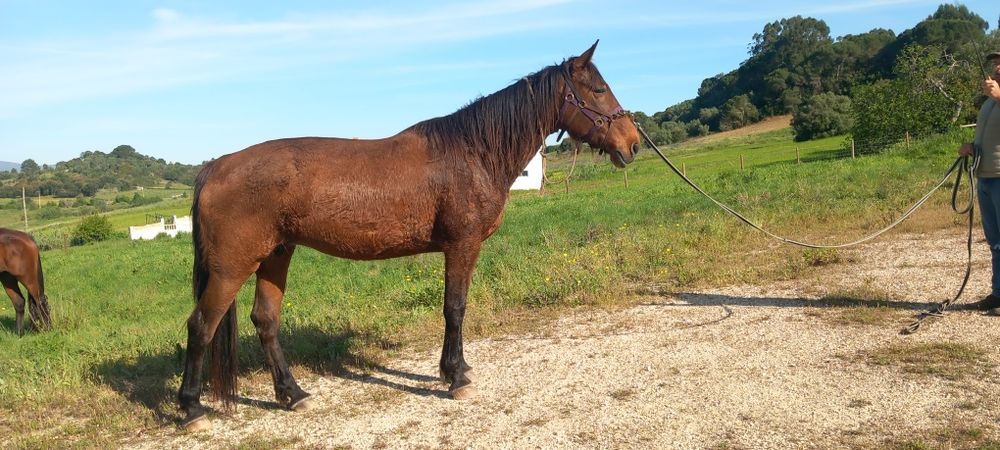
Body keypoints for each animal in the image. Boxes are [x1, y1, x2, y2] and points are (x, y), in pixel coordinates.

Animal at [178, 41, 641, 432]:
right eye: (599, 90)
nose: (634, 144)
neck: (472, 152)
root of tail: (215, 167)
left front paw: (457, 369)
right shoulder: (461, 245)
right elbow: (455, 308)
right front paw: (455, 378)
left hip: (276, 255)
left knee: (266, 322)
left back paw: (293, 394)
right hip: (232, 268)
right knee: (200, 326)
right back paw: (192, 409)